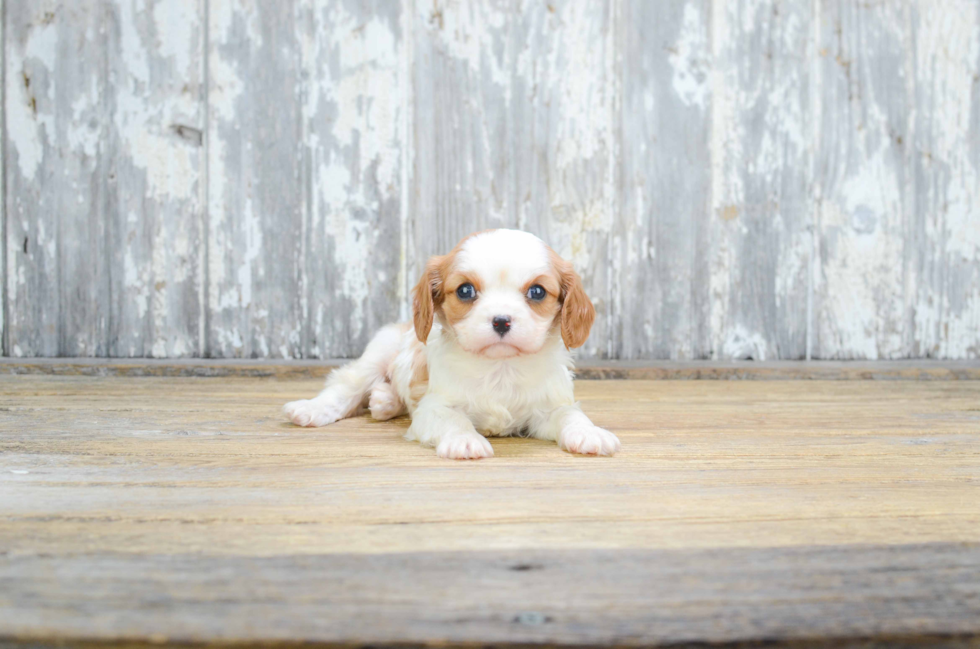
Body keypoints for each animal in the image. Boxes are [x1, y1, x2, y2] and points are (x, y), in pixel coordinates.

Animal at [284, 230, 620, 458]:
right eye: (465, 290)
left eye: (537, 292)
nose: (501, 320)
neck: (501, 367)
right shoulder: (435, 407)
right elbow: (453, 419)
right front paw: (465, 440)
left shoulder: (548, 408)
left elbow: (569, 414)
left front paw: (589, 432)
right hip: (378, 354)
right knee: (345, 386)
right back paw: (312, 408)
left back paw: (384, 401)